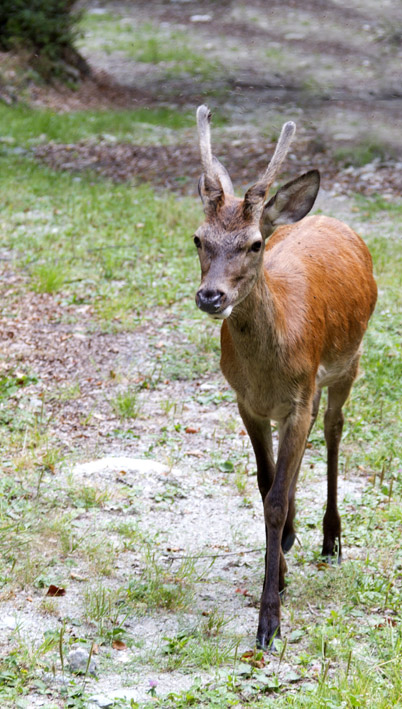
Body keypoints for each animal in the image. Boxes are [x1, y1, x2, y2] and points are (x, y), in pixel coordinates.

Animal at [193, 105, 377, 650]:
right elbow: (265, 482)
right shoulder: (247, 401)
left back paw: (331, 537)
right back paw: (297, 536)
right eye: (198, 239)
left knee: (334, 428)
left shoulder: (300, 392)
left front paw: (269, 619)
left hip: (349, 361)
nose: (211, 296)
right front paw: (281, 572)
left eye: (255, 244)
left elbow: (273, 500)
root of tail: (329, 218)